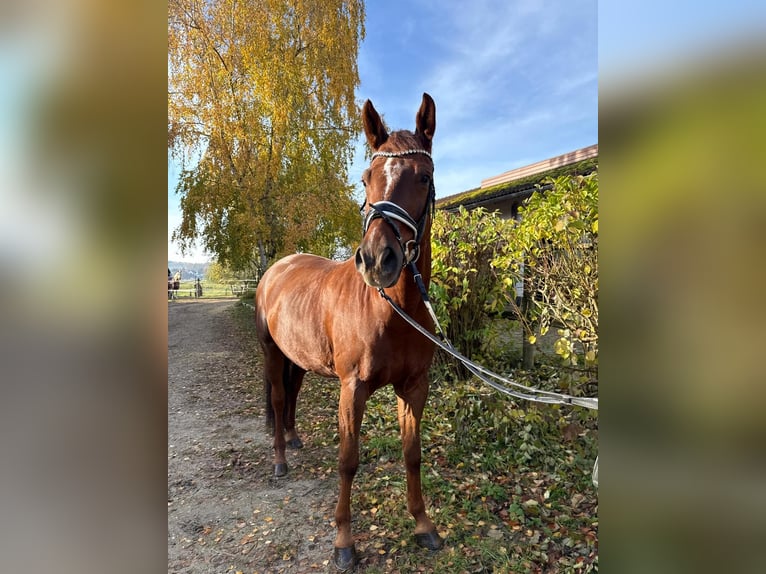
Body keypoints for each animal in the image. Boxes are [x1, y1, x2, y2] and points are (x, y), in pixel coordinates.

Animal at [255, 93, 443, 571]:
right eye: (366, 178)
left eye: (424, 176)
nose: (377, 259)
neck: (392, 309)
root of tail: (277, 268)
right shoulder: (351, 388)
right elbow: (348, 461)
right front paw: (343, 541)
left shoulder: (414, 387)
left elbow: (412, 454)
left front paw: (423, 525)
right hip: (271, 352)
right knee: (279, 398)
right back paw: (280, 461)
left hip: (300, 358)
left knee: (292, 395)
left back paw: (293, 438)